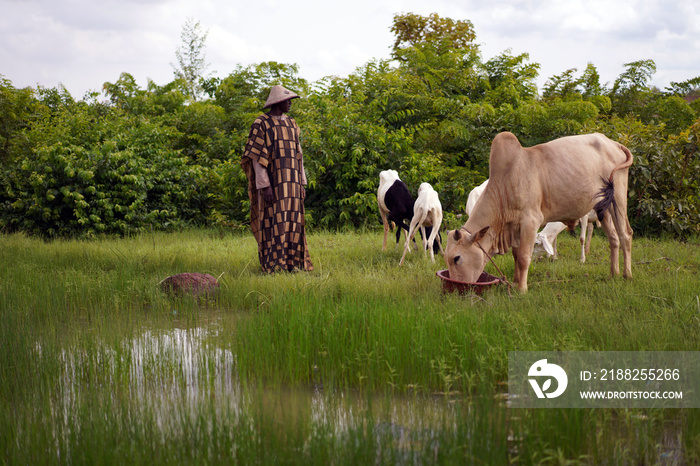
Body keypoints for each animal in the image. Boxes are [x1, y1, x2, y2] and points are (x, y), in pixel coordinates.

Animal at [448, 132, 636, 292]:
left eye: (457, 258)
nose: (456, 285)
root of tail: (614, 143)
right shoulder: (515, 228)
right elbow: (516, 255)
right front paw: (515, 282)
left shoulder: (530, 222)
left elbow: (524, 258)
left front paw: (522, 289)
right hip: (602, 206)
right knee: (613, 237)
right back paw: (613, 273)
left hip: (618, 196)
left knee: (625, 234)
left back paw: (627, 275)